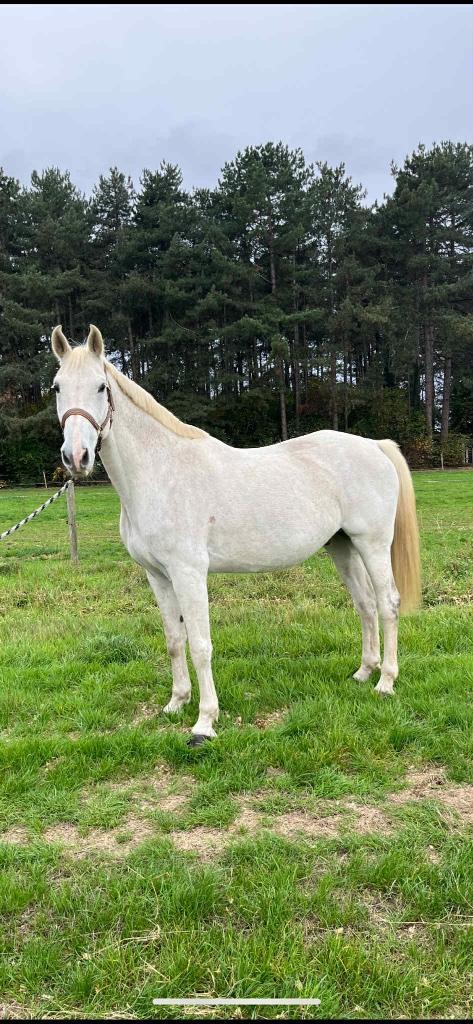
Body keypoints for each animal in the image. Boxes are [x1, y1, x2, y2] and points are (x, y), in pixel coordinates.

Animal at [51, 324, 421, 745]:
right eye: (57, 387)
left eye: (100, 387)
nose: (76, 457)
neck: (160, 474)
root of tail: (375, 445)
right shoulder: (157, 575)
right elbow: (174, 640)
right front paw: (176, 703)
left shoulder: (189, 573)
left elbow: (200, 645)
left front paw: (204, 722)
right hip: (342, 546)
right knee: (364, 604)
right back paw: (363, 672)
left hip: (372, 544)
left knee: (387, 603)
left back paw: (386, 682)